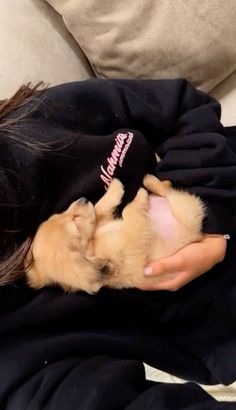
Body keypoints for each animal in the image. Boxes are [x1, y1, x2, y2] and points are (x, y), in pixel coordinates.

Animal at [25, 175, 206, 294]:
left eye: (57, 215)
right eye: (75, 221)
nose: (83, 199)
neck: (94, 245)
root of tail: (197, 235)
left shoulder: (100, 223)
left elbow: (99, 208)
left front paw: (115, 188)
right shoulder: (134, 238)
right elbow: (129, 210)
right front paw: (138, 197)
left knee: (166, 190)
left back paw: (150, 181)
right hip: (185, 211)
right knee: (169, 193)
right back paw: (148, 185)